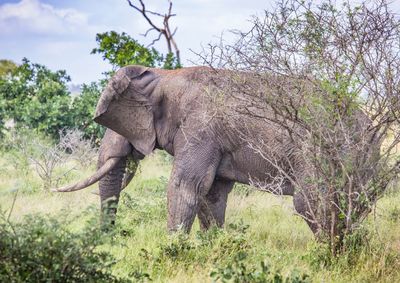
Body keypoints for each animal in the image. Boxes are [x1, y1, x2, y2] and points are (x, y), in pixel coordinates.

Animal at [54, 65, 376, 235]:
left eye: (117, 125)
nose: (110, 238)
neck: (164, 77)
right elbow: (211, 194)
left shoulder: (201, 129)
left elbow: (185, 186)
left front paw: (173, 249)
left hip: (323, 150)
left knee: (309, 202)